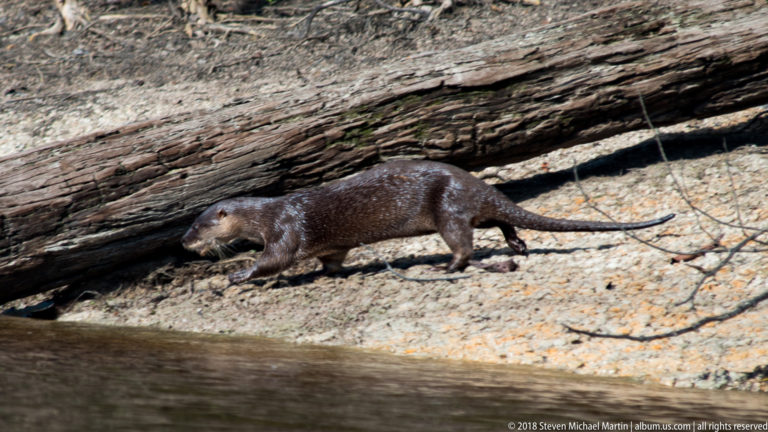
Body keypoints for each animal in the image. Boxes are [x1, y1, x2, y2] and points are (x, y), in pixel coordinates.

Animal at [181, 160, 674, 284]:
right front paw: (335, 272)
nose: (184, 243)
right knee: (499, 221)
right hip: (474, 207)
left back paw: (446, 266)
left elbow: (277, 258)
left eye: (200, 225)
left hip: (447, 210)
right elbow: (333, 256)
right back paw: (516, 244)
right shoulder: (328, 244)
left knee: (464, 243)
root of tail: (477, 185)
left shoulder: (284, 229)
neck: (266, 214)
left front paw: (238, 274)